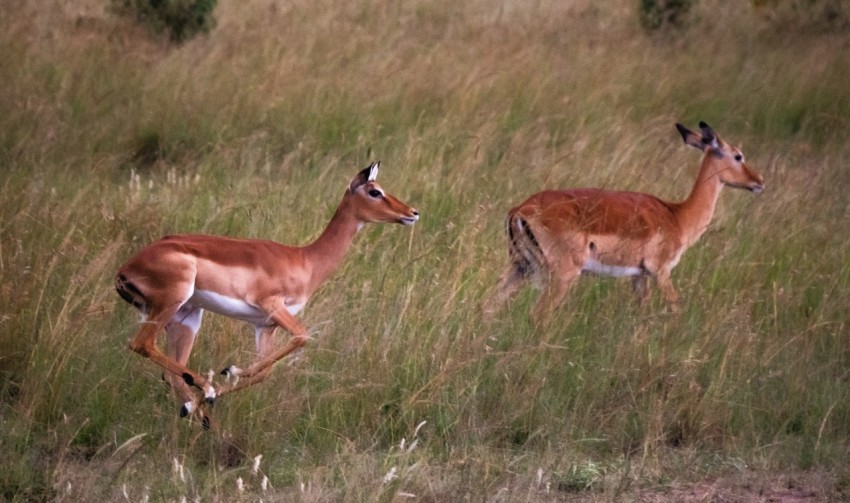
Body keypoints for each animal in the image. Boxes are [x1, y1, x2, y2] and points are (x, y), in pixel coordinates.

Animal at [115, 162, 419, 426]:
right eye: (375, 191)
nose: (413, 212)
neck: (305, 261)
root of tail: (126, 268)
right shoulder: (272, 305)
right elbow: (302, 336)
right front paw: (228, 373)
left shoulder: (265, 326)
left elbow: (266, 370)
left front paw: (225, 378)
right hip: (171, 303)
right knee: (142, 345)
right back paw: (206, 391)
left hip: (187, 317)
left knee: (172, 373)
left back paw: (196, 408)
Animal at [485, 122, 764, 320]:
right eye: (738, 156)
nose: (759, 181)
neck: (677, 216)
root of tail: (520, 210)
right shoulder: (661, 271)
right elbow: (675, 309)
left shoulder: (638, 276)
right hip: (561, 275)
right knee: (538, 315)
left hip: (520, 267)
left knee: (488, 308)